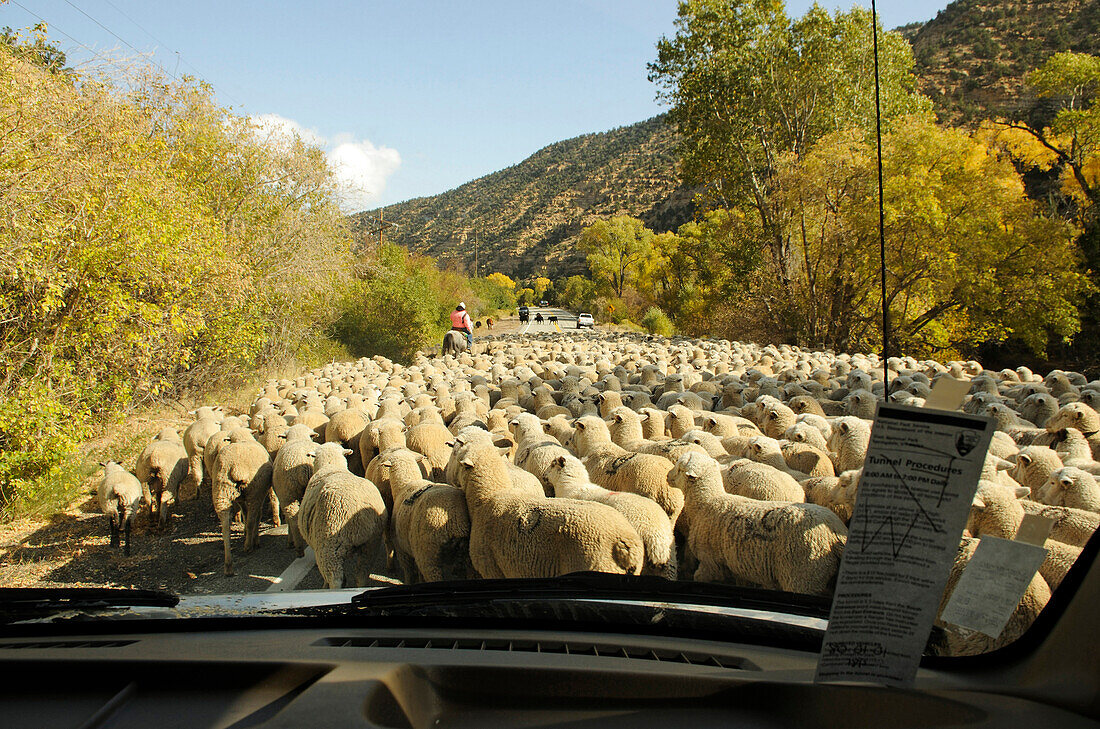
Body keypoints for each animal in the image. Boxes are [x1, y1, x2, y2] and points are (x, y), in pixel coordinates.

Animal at [210, 435, 272, 580]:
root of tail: (235, 467)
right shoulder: (258, 495)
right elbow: (254, 516)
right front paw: (254, 538)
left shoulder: (241, 499)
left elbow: (245, 513)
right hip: (254, 490)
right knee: (251, 520)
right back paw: (249, 545)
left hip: (221, 491)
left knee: (226, 528)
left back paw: (228, 566)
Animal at [664, 457, 844, 598]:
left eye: (680, 469)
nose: (667, 476)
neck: (707, 501)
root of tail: (836, 533)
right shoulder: (738, 566)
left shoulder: (711, 562)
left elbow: (699, 576)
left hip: (803, 574)